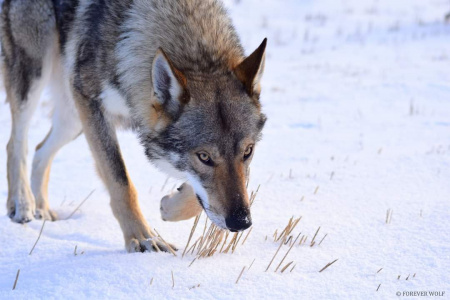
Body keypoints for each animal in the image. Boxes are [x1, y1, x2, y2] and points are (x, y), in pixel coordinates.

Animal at [0, 0, 266, 253]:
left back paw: (42, 208)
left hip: (72, 118)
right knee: (16, 142)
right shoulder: (90, 103)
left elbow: (200, 196)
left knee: (40, 149)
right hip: (36, 76)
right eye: (204, 157)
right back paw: (22, 204)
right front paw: (143, 238)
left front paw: (170, 206)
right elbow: (120, 181)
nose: (242, 222)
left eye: (248, 152)